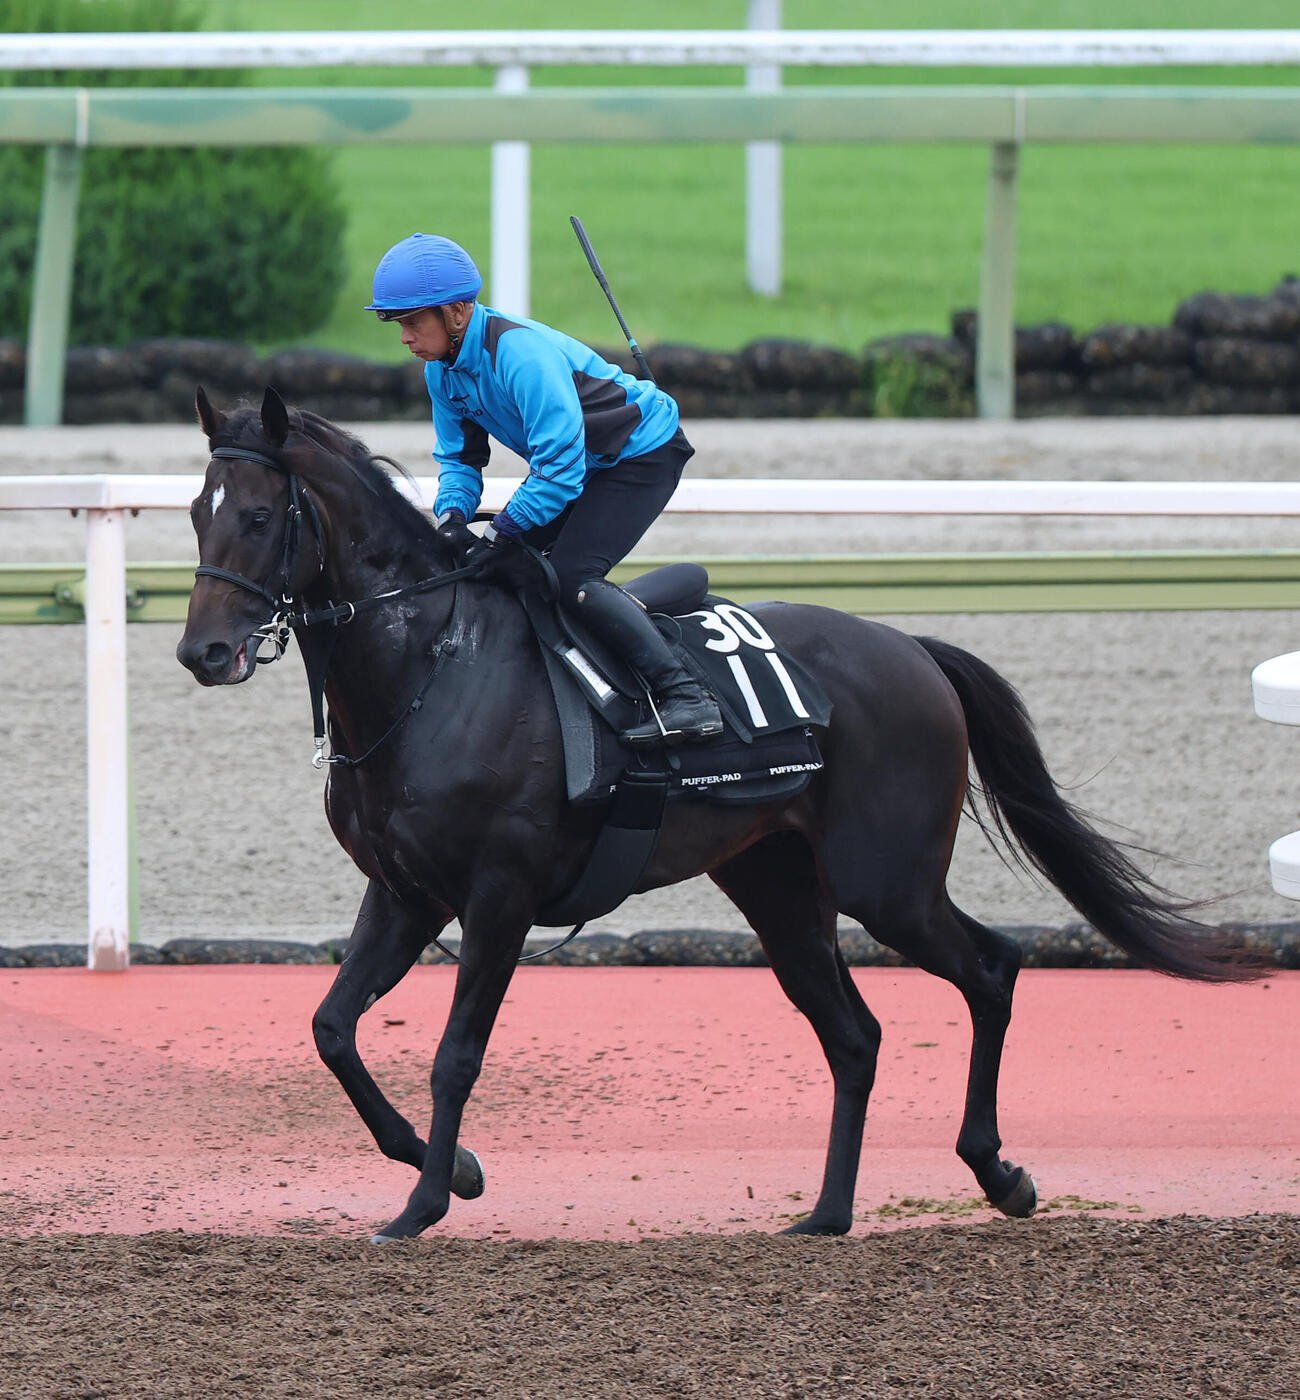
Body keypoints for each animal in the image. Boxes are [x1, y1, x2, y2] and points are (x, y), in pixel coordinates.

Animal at [177, 387, 1254, 1242]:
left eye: (263, 514)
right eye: (196, 511)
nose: (204, 653)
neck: (430, 666)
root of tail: (910, 645)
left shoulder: (498, 895)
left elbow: (454, 1054)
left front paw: (425, 1203)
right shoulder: (404, 891)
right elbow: (333, 1027)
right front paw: (454, 1171)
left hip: (887, 880)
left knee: (989, 968)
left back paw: (998, 1171)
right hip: (776, 883)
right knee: (854, 1035)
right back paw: (827, 1212)